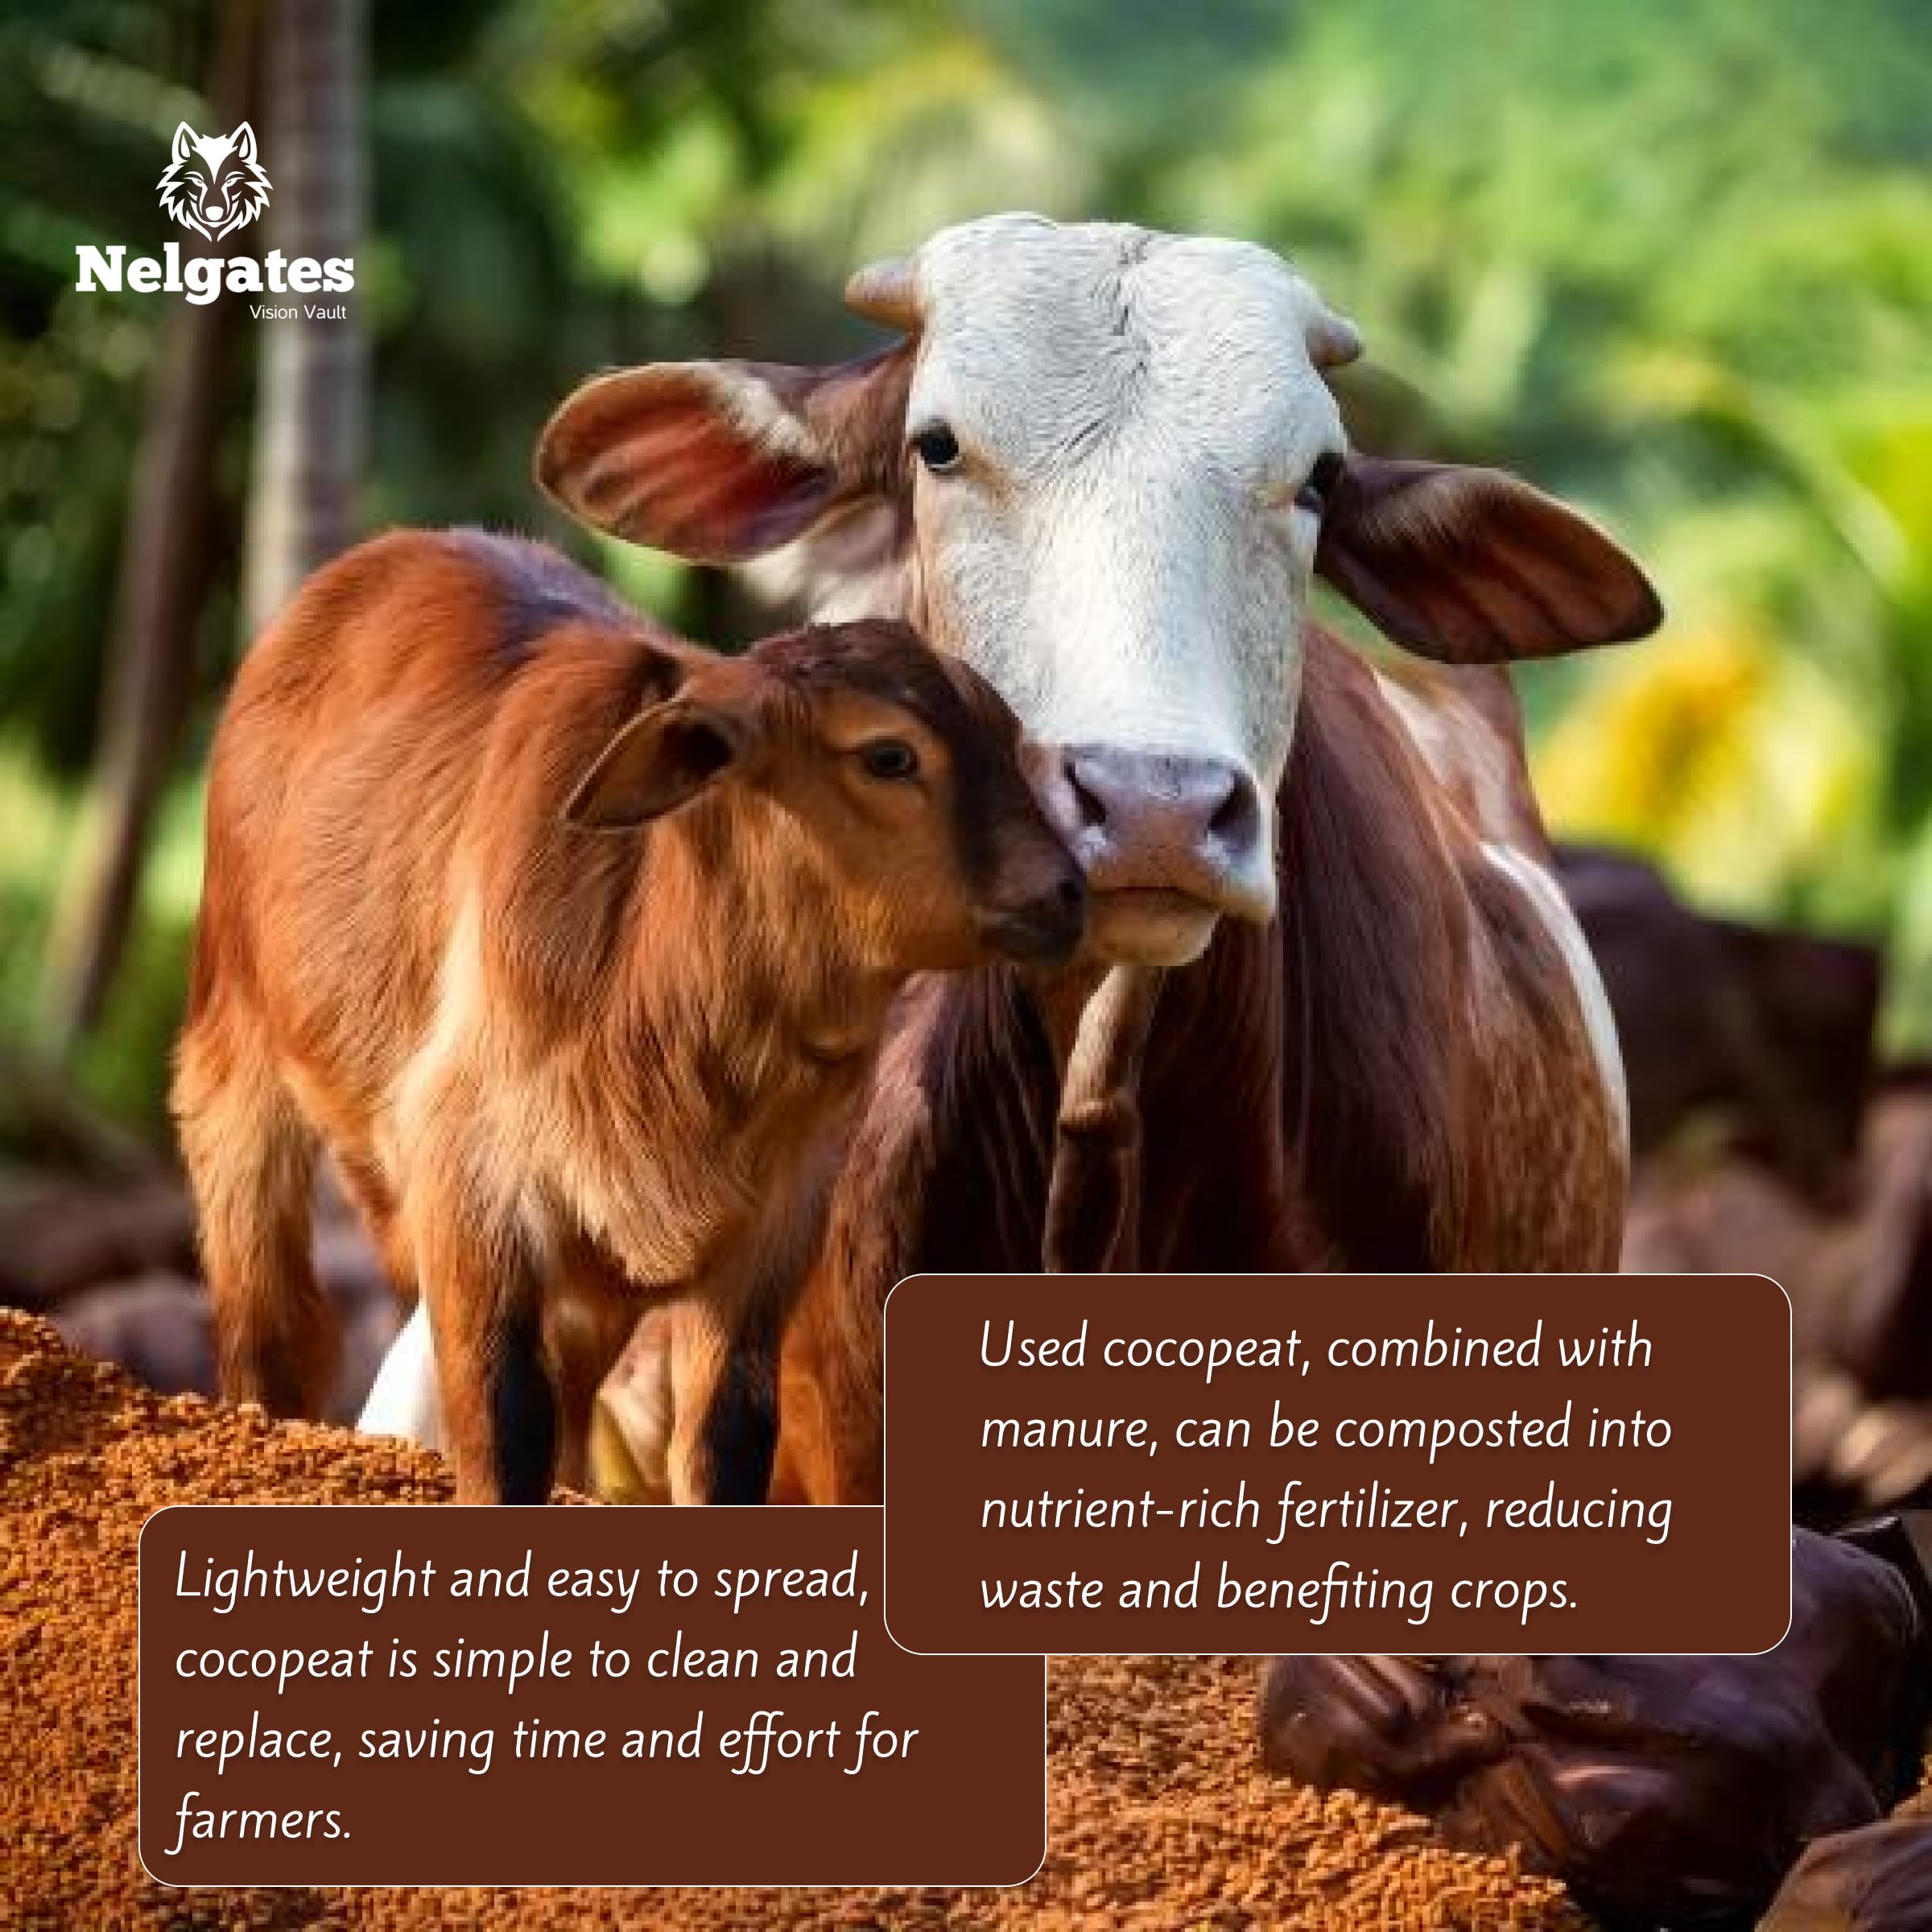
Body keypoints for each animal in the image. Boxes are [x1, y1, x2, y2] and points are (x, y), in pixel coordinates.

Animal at [173, 529, 1083, 1504]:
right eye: (888, 756)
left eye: (1007, 739)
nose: (1067, 890)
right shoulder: (471, 1186)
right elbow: (503, 1425)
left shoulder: (773, 1229)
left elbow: (723, 1439)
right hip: (234, 1069)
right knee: (275, 1331)